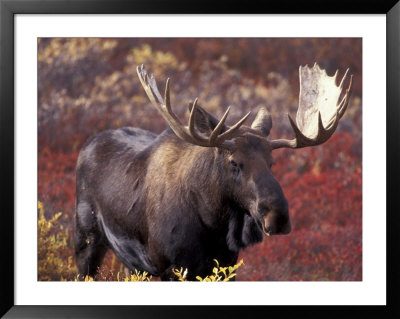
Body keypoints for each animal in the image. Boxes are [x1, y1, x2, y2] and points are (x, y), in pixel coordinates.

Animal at [75, 63, 354, 282]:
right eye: (234, 163)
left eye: (272, 162)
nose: (279, 216)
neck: (213, 224)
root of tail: (86, 145)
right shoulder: (170, 267)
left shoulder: (225, 265)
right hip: (86, 240)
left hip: (131, 263)